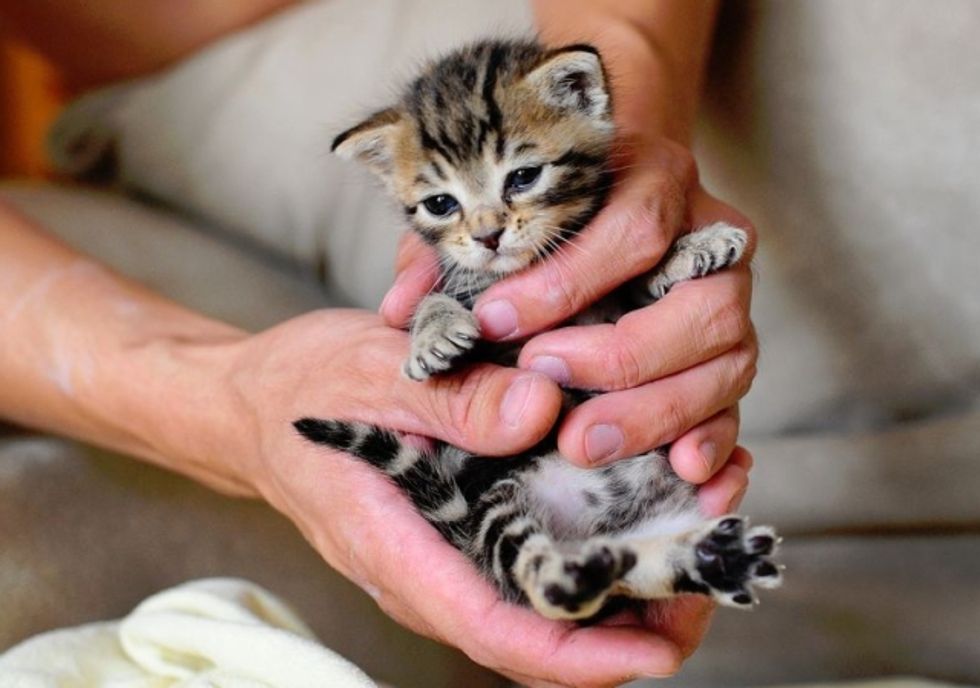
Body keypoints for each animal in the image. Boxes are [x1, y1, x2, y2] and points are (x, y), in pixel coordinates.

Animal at [292, 37, 780, 620]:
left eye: (523, 177)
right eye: (441, 204)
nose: (488, 235)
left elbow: (638, 287)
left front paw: (690, 249)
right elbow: (435, 297)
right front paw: (434, 335)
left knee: (629, 573)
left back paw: (705, 559)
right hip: (498, 501)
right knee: (536, 574)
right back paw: (578, 572)